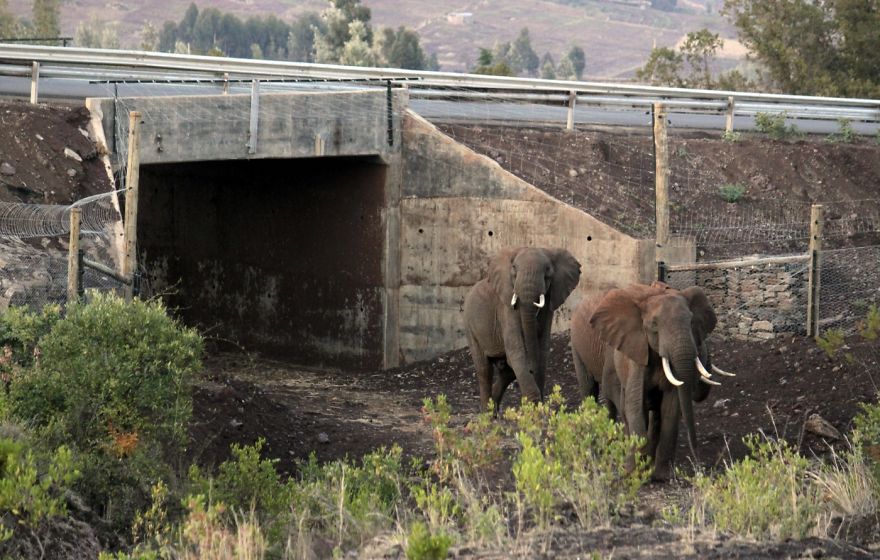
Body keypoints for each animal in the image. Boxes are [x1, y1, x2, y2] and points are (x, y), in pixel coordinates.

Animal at [464, 247, 582, 413]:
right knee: (484, 369)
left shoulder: (549, 304)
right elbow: (517, 351)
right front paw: (535, 408)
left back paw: (493, 410)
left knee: (507, 370)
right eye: (514, 269)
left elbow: (542, 351)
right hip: (470, 327)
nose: (531, 370)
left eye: (547, 271)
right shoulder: (506, 307)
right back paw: (486, 414)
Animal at [570, 282, 735, 481]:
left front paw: (663, 476)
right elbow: (634, 404)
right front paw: (636, 473)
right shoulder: (635, 351)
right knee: (591, 391)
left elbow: (671, 407)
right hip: (578, 345)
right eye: (654, 325)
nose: (698, 464)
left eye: (691, 322)